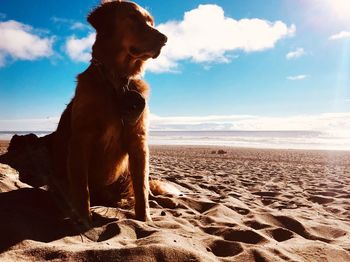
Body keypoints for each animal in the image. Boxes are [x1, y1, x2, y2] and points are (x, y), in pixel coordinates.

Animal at [51, 0, 167, 225]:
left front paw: (144, 218)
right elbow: (81, 186)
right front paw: (83, 217)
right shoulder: (81, 138)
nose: (164, 39)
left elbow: (142, 187)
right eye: (132, 17)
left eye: (151, 22)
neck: (117, 82)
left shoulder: (138, 139)